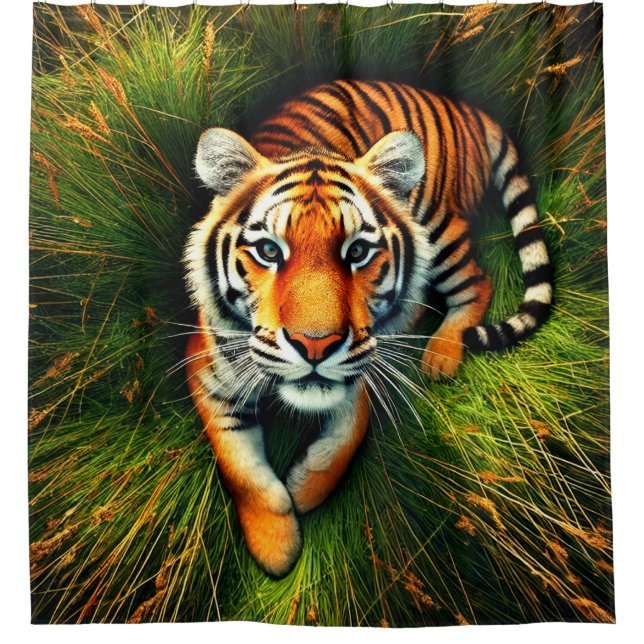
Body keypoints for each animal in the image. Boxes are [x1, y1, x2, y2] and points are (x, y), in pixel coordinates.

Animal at [183, 79, 553, 577]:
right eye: (268, 251)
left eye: (357, 251)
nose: (315, 346)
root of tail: (464, 108)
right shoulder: (208, 373)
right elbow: (241, 471)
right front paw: (275, 550)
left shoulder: (359, 372)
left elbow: (344, 440)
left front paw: (304, 493)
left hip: (441, 230)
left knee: (478, 281)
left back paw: (440, 354)